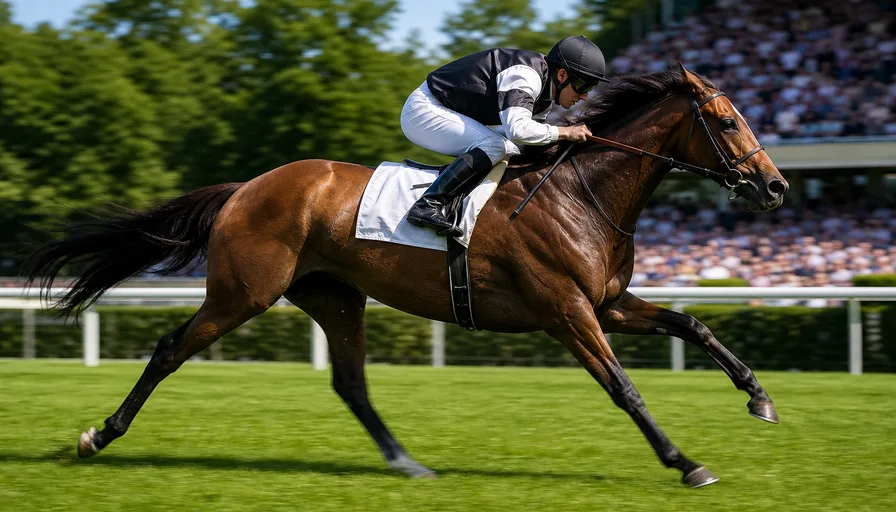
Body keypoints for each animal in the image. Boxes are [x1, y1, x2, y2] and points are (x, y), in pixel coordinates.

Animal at [24, 65, 788, 488]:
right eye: (728, 122)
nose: (776, 187)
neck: (581, 193)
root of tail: (248, 187)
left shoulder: (607, 301)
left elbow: (692, 322)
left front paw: (759, 397)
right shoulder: (567, 310)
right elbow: (625, 388)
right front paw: (685, 461)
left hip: (335, 297)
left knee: (351, 384)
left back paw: (407, 463)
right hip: (244, 291)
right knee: (169, 349)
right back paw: (99, 435)